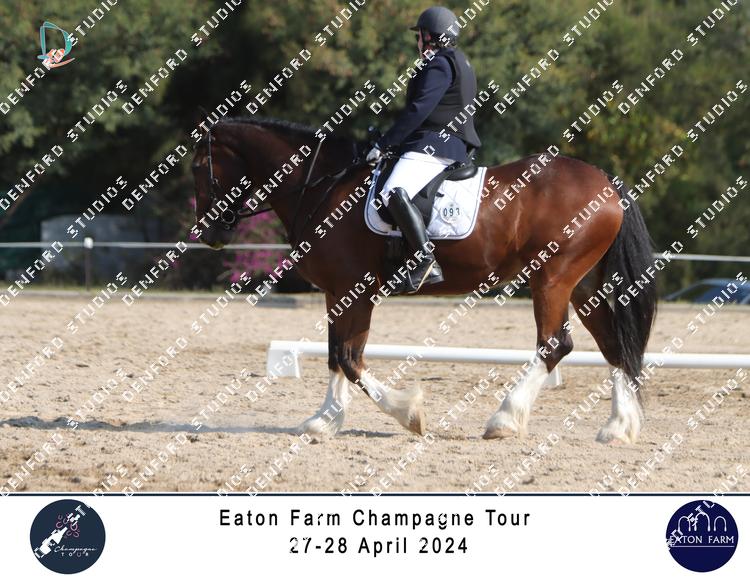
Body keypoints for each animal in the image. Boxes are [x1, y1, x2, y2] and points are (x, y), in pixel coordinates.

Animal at [190, 117, 657, 445]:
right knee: (615, 347)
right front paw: (324, 421)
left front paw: (408, 413)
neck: (324, 187)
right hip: (584, 285)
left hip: (552, 279)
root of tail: (606, 182)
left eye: (198, 168)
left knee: (555, 345)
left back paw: (504, 420)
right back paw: (618, 428)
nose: (209, 235)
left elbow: (349, 358)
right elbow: (337, 356)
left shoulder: (354, 290)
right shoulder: (338, 293)